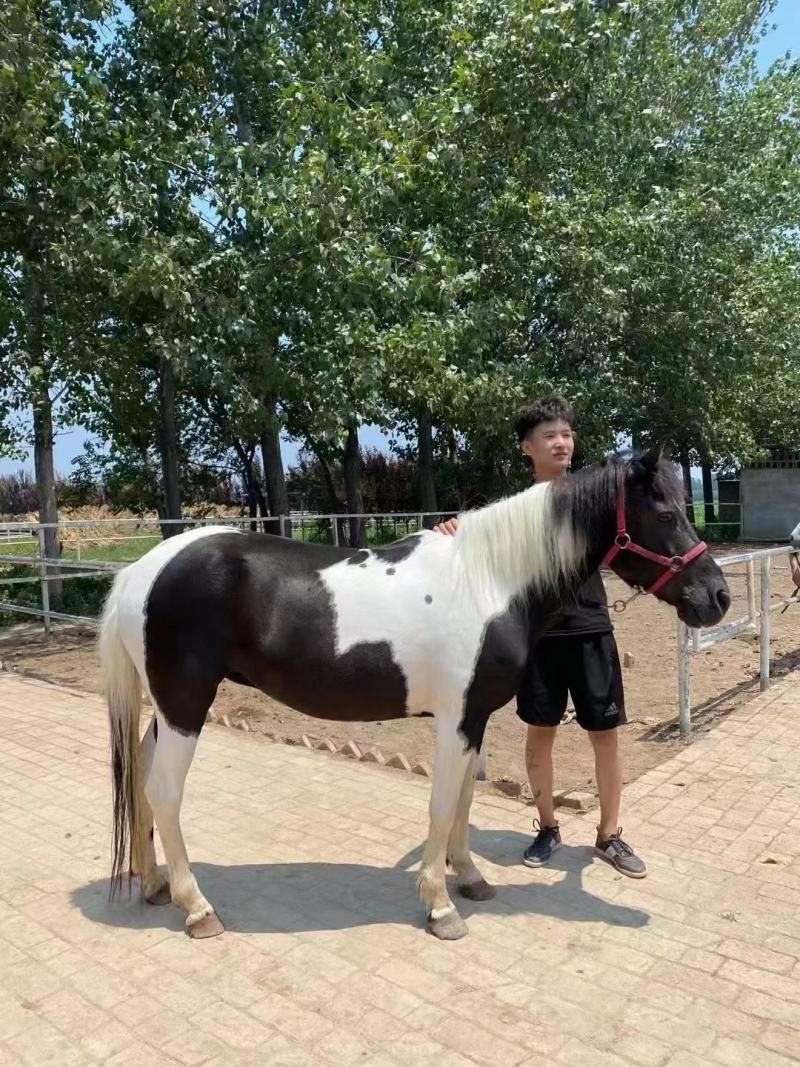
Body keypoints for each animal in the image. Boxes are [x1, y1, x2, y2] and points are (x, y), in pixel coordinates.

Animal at [99, 450, 730, 941]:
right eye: (665, 512)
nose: (718, 597)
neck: (489, 582)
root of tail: (141, 572)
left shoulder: (472, 719)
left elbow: (464, 803)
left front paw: (470, 879)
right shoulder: (455, 718)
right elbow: (442, 805)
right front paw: (440, 906)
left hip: (167, 709)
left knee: (140, 780)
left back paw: (155, 885)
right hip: (186, 706)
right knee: (164, 792)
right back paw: (197, 909)